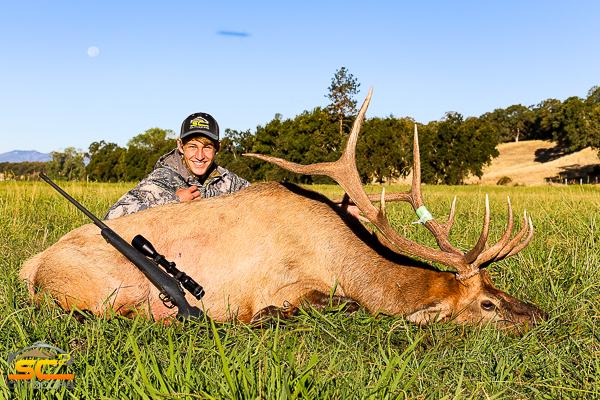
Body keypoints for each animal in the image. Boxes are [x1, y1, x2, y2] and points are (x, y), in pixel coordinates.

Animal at [18, 91, 548, 328]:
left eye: (500, 288)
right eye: (488, 304)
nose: (540, 315)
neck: (343, 259)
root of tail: (29, 268)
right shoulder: (284, 283)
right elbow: (339, 304)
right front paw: (266, 316)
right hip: (99, 289)